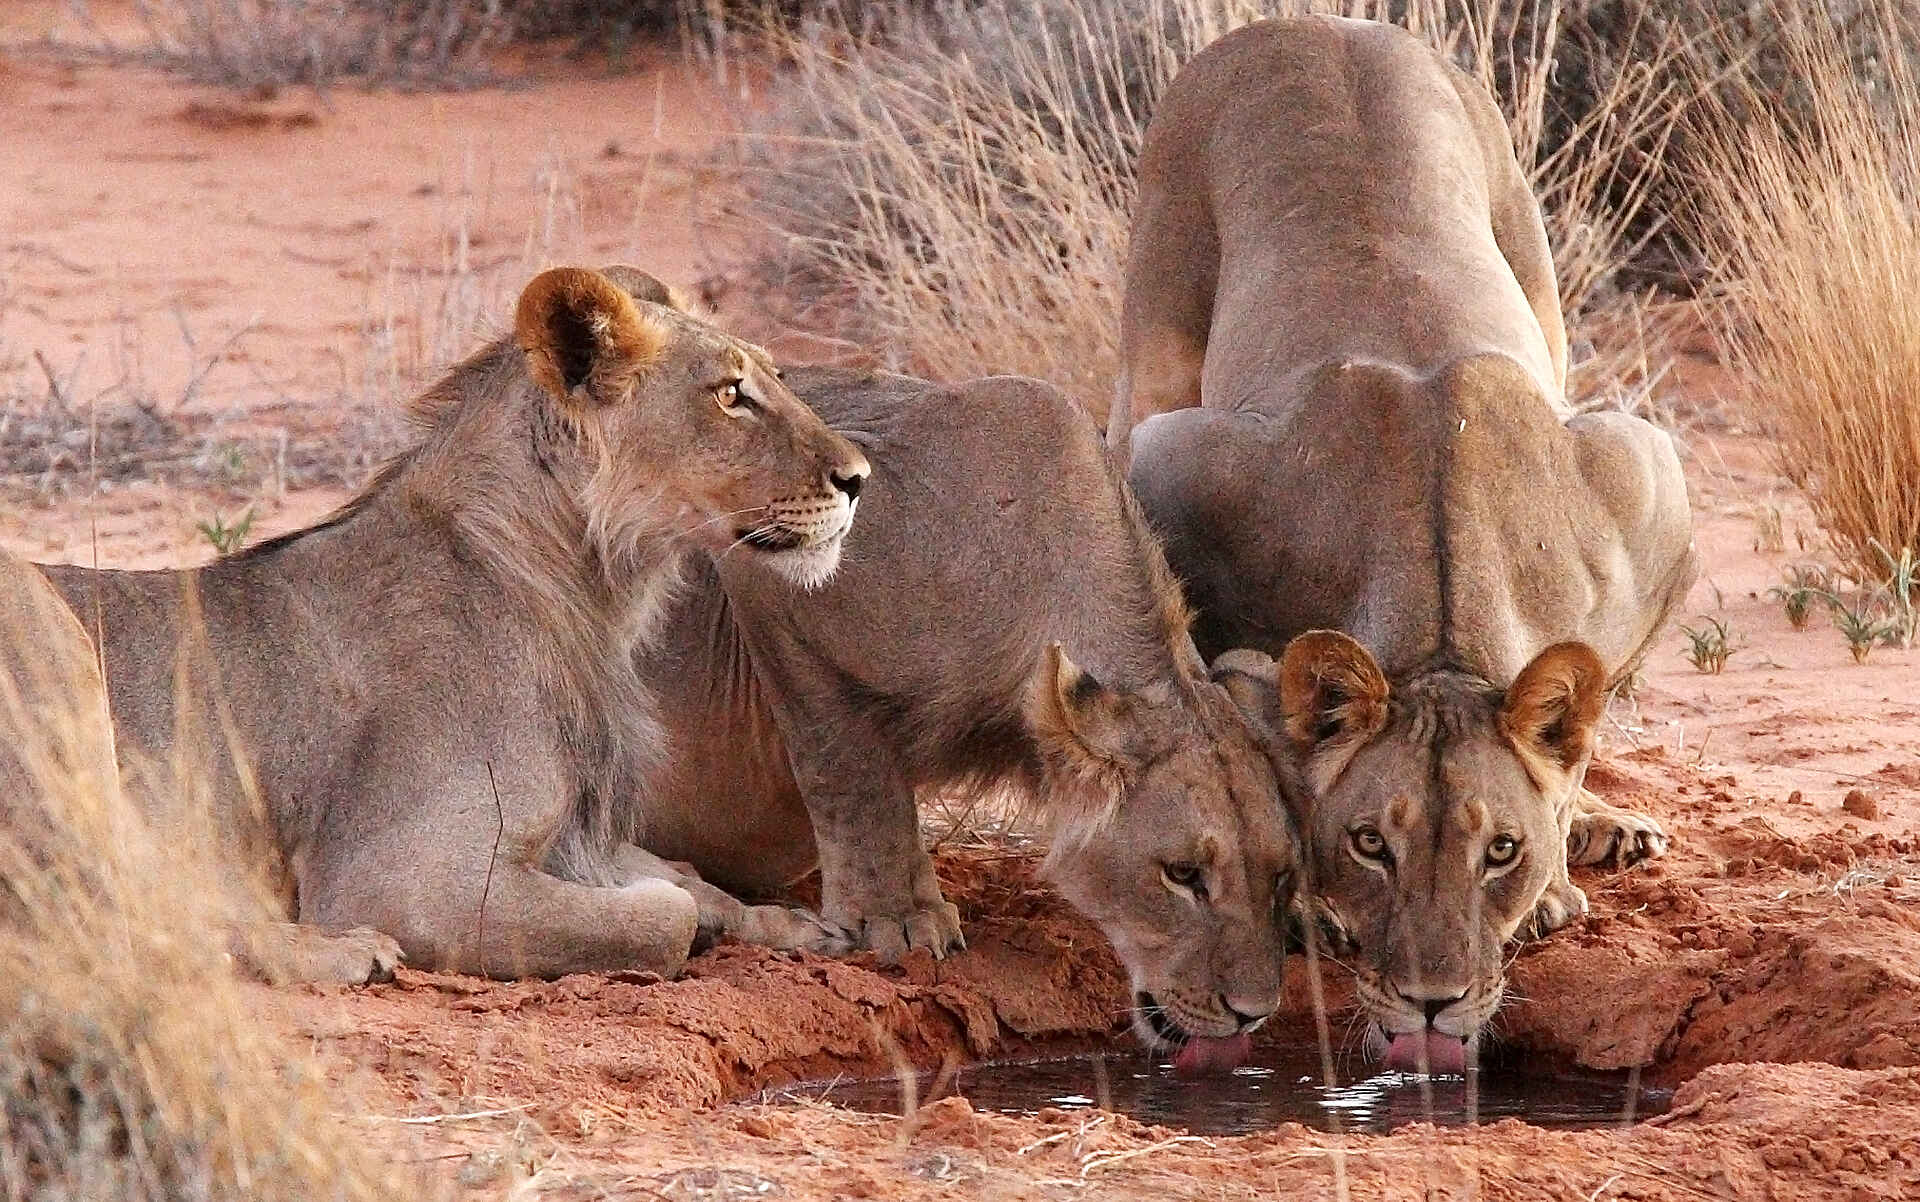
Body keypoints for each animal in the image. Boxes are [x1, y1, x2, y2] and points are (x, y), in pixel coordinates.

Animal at [15, 264, 872, 984]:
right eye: (729, 394)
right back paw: (338, 954)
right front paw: (691, 922)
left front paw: (793, 926)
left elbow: (685, 876)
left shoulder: (575, 832)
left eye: (778, 377)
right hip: (51, 639)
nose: (858, 478)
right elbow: (664, 915)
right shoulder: (405, 876)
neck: (590, 596)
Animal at [632, 366, 1301, 1075]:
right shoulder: (776, 577)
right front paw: (895, 920)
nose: (1253, 1012)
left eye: (1281, 874)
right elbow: (851, 775)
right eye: (1183, 875)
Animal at [1107, 17, 1698, 1072]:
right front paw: (1300, 899)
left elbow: (1578, 729)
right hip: (1153, 341)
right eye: (1370, 844)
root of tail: (1312, 21)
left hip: (1538, 278)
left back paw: (1606, 829)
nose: (1432, 1005)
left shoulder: (1647, 472)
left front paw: (1559, 865)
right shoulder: (1174, 467)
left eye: (1498, 849)